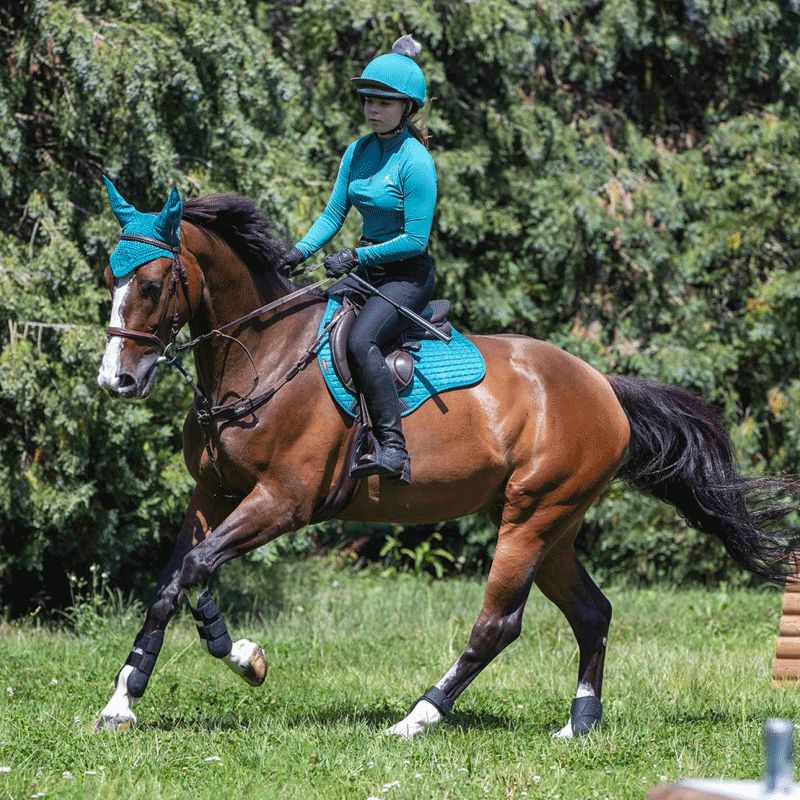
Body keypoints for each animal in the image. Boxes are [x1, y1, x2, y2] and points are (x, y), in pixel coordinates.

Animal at [95, 184, 800, 736]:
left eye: (152, 284)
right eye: (111, 278)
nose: (117, 381)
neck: (260, 358)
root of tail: (603, 386)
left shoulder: (283, 502)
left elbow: (195, 569)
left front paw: (239, 654)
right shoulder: (212, 494)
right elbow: (172, 583)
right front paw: (126, 699)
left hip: (531, 518)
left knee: (500, 623)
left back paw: (419, 716)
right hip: (552, 525)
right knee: (592, 611)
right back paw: (578, 724)